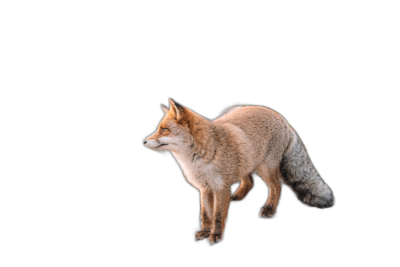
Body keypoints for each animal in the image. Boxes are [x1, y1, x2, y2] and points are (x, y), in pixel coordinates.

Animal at [143, 99, 334, 247]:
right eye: (159, 128)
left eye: (164, 129)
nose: (144, 142)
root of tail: (282, 118)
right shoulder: (205, 188)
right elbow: (206, 214)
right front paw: (204, 232)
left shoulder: (220, 187)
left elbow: (218, 215)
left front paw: (215, 236)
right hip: (245, 163)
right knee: (250, 181)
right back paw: (237, 197)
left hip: (264, 168)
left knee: (277, 187)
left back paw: (269, 209)